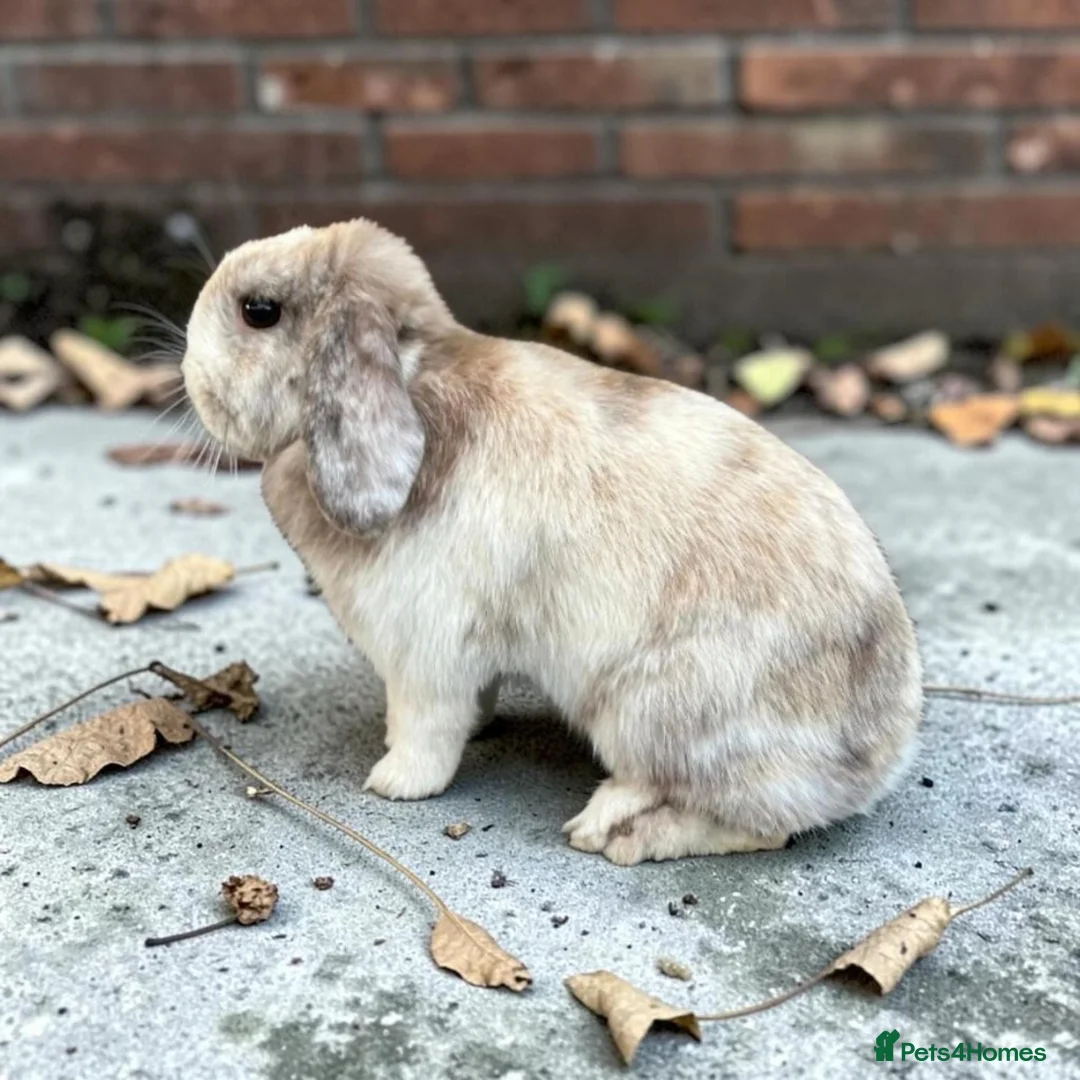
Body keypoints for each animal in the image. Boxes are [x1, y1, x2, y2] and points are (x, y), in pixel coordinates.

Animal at [181, 217, 923, 866]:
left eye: (259, 311)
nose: (189, 373)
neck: (415, 379)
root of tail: (880, 753)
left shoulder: (426, 652)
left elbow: (426, 728)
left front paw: (394, 781)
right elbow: (471, 705)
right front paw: (474, 731)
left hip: (650, 712)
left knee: (752, 823)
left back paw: (614, 830)